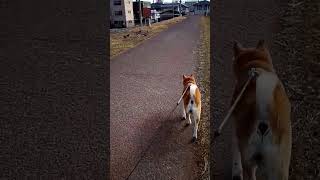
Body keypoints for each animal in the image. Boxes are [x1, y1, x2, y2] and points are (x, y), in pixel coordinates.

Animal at [230, 40, 292, 179]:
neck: (255, 64)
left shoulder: (236, 127)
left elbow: (235, 151)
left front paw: (236, 171)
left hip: (249, 161)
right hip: (280, 167)